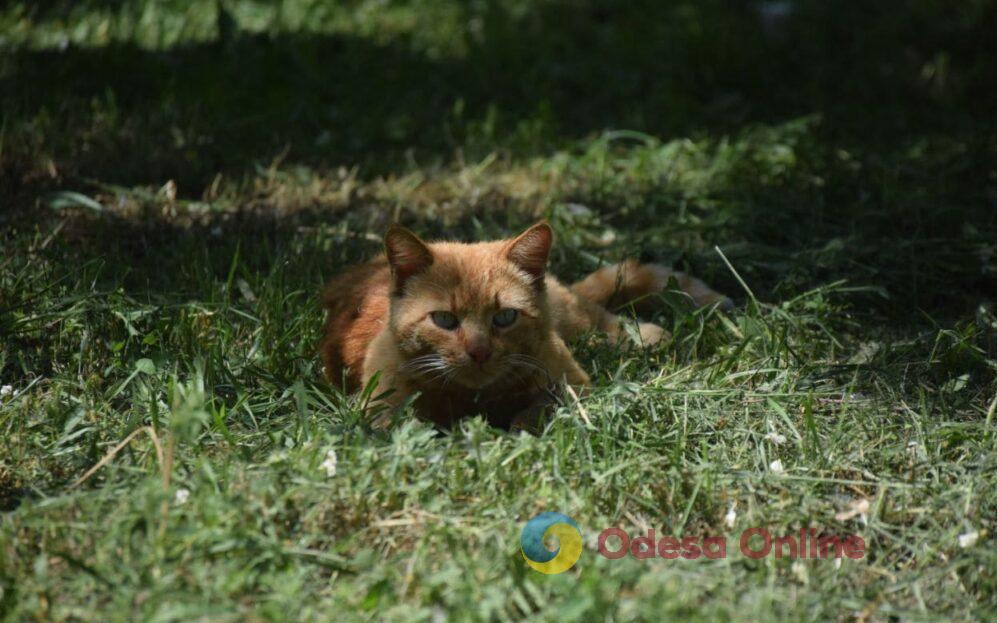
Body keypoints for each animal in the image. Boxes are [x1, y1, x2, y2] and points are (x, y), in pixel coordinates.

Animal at [322, 222, 728, 432]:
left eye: (504, 317)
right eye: (444, 320)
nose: (479, 351)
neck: (476, 398)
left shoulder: (571, 382)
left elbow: (539, 409)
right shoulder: (380, 404)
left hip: (579, 324)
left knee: (605, 319)